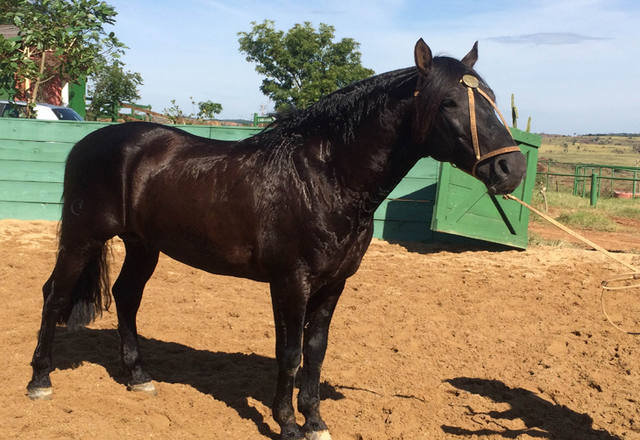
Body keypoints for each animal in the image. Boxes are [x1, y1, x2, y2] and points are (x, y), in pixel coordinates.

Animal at [27, 39, 526, 440]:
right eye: (449, 102)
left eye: (491, 99)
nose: (512, 169)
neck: (325, 178)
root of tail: (90, 142)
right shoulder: (290, 283)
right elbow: (288, 353)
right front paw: (287, 424)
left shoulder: (333, 284)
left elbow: (315, 351)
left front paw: (316, 422)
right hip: (83, 237)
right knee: (54, 295)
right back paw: (40, 381)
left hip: (143, 245)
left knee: (126, 296)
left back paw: (138, 377)